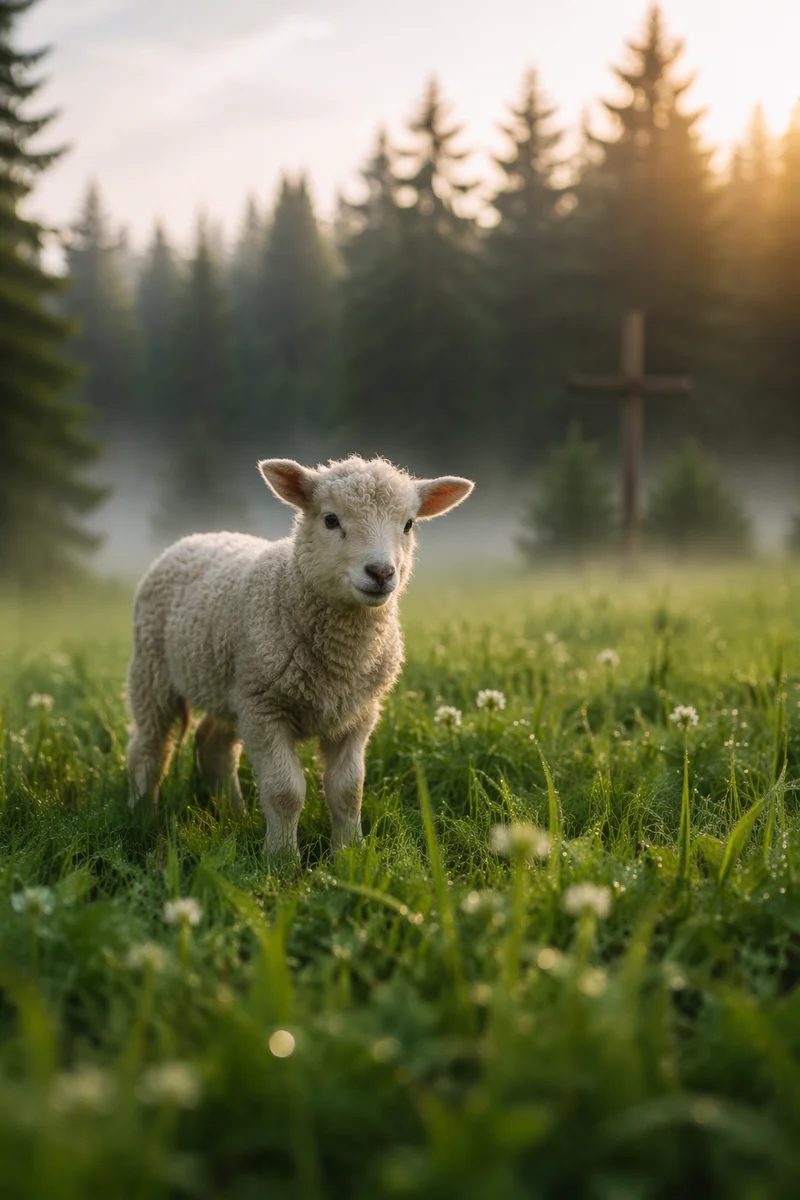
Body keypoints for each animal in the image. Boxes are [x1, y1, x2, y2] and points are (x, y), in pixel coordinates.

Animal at [126, 455, 474, 855]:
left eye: (408, 524)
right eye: (331, 520)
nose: (381, 572)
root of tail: (200, 535)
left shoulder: (357, 713)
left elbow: (348, 790)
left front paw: (349, 853)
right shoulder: (265, 708)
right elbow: (284, 791)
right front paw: (281, 859)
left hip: (230, 685)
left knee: (213, 743)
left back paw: (232, 815)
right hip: (154, 670)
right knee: (149, 748)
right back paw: (142, 818)